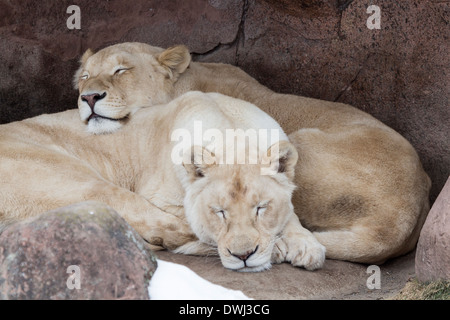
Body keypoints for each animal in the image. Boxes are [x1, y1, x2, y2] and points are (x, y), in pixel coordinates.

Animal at [0, 90, 324, 272]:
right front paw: (280, 247)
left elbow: (290, 211)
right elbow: (191, 225)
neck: (232, 131)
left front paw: (307, 248)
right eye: (219, 212)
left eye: (261, 207)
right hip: (55, 170)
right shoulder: (161, 193)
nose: (244, 255)